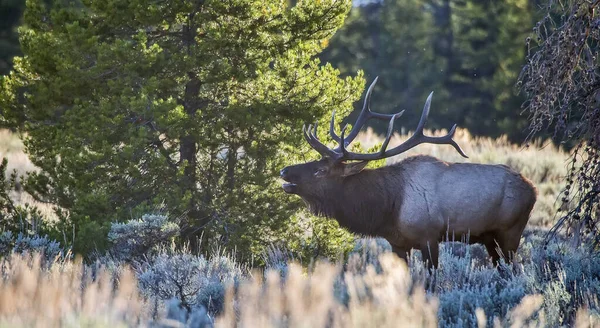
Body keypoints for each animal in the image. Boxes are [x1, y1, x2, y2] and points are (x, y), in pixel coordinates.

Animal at [282, 78, 540, 270]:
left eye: (320, 170)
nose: (284, 171)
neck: (389, 208)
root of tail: (534, 189)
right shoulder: (398, 244)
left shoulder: (429, 237)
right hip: (490, 238)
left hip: (510, 231)